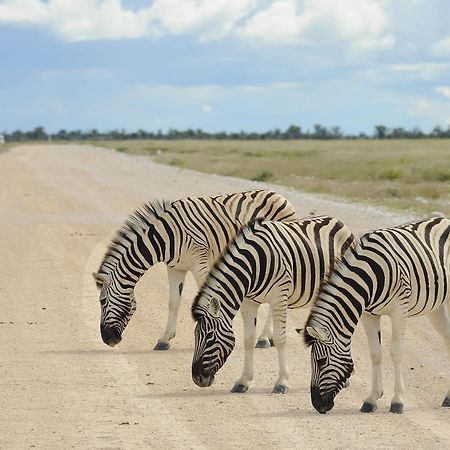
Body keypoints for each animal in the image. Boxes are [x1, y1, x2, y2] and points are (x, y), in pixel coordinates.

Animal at [92, 188, 298, 350]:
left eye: (102, 301)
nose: (108, 340)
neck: (164, 237)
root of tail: (280, 196)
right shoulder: (175, 268)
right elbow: (173, 302)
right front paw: (164, 340)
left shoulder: (200, 263)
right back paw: (269, 338)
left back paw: (263, 339)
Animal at [191, 215, 356, 394]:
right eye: (195, 336)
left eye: (209, 337)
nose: (197, 379)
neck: (253, 265)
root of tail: (337, 220)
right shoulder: (249, 302)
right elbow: (248, 339)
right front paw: (243, 381)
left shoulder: (278, 298)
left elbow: (280, 339)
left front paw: (282, 382)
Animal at [302, 216, 450, 414]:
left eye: (321, 361)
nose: (318, 405)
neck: (369, 277)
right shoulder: (368, 314)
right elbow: (375, 354)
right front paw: (371, 400)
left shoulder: (399, 310)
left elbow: (396, 351)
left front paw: (397, 401)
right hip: (436, 307)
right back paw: (448, 397)